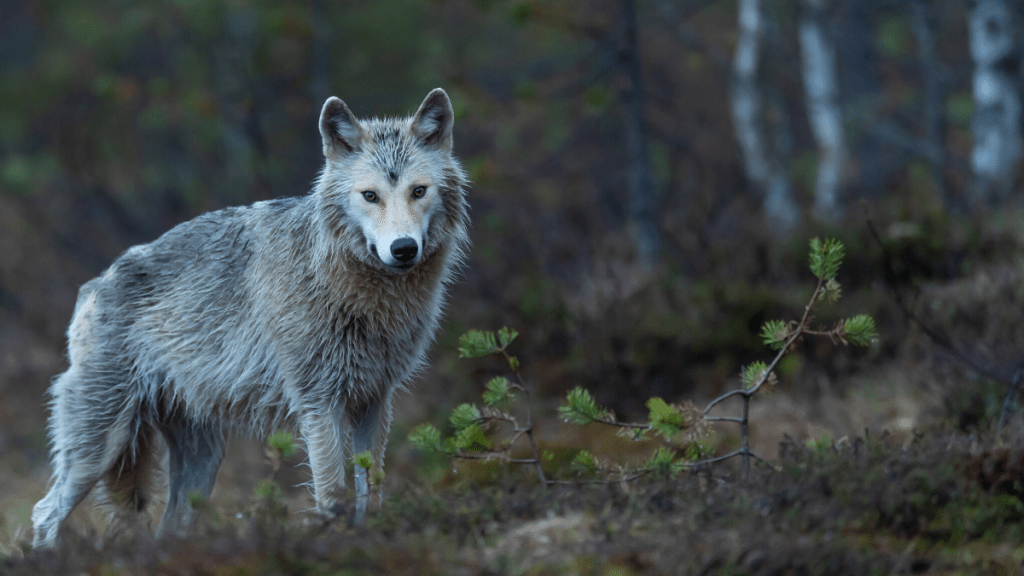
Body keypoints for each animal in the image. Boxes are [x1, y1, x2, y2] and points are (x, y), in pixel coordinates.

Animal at [30, 88, 470, 549]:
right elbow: (333, 494)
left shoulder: (375, 400)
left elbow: (373, 488)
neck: (357, 294)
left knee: (167, 526)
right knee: (44, 513)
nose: (403, 249)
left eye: (418, 191)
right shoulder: (318, 402)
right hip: (100, 447)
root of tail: (93, 285)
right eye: (370, 196)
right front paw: (333, 543)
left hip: (202, 461)